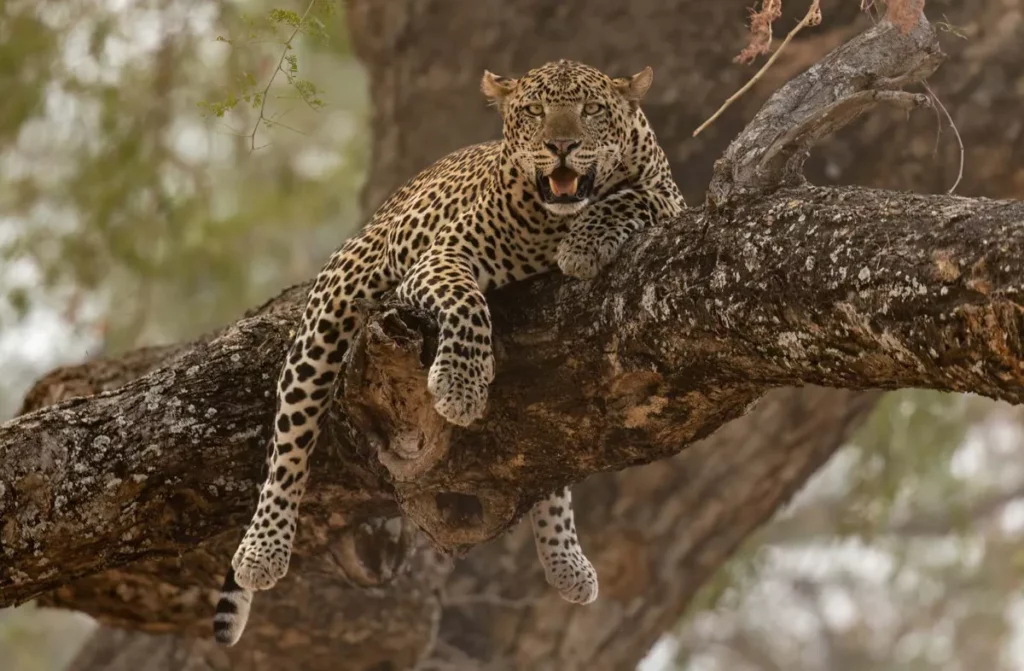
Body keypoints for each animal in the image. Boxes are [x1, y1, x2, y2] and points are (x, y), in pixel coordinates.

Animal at [213, 59, 685, 646]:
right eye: (534, 112)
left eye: (592, 110)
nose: (561, 145)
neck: (557, 217)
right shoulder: (441, 258)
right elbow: (467, 302)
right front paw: (460, 386)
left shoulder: (672, 200)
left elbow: (636, 196)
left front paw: (586, 243)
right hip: (331, 312)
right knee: (289, 442)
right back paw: (263, 548)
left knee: (551, 453)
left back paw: (565, 561)